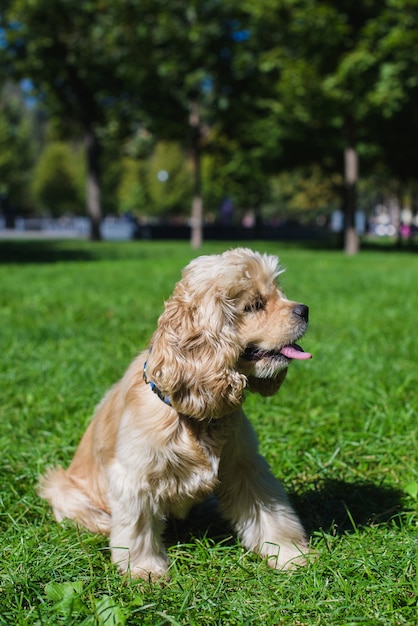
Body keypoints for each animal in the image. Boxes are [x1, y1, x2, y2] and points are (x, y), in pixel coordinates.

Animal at [39, 246, 312, 576]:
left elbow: (272, 514)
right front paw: (144, 570)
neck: (191, 415)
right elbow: (137, 528)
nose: (305, 309)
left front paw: (290, 553)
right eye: (255, 305)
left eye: (277, 292)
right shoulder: (135, 478)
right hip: (62, 488)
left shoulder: (245, 466)